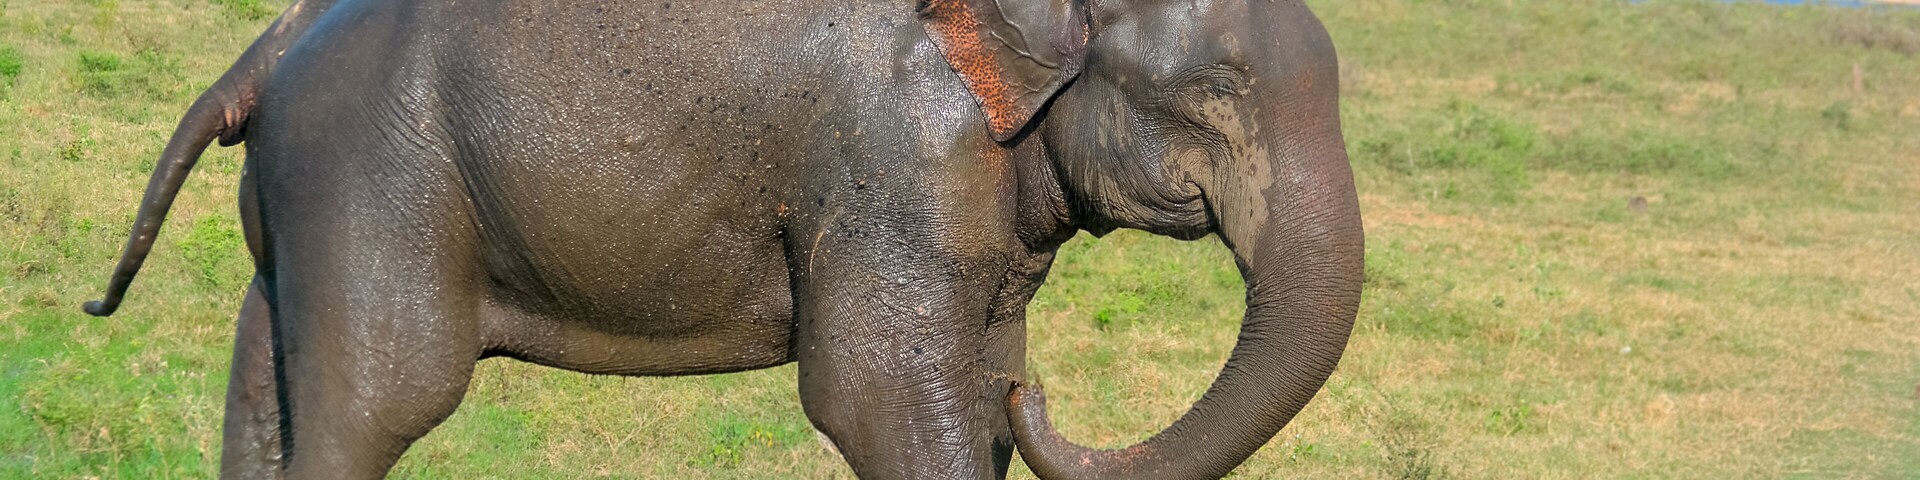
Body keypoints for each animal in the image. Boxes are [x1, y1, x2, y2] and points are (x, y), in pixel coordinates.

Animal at [82, 0, 1363, 478]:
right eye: (1217, 90)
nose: (1039, 397)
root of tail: (265, 47)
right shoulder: (899, 158)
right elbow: (879, 399)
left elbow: (959, 382)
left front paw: (1001, 392)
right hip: (374, 182)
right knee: (376, 406)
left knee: (268, 387)